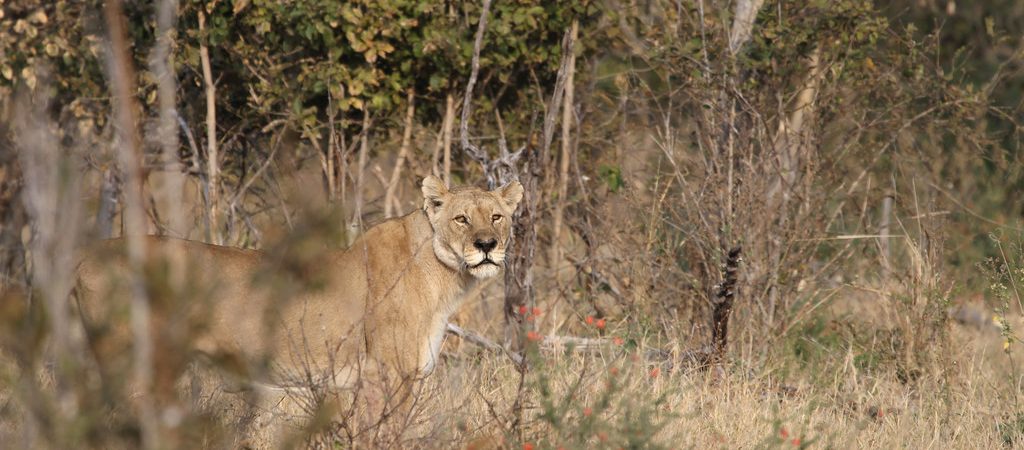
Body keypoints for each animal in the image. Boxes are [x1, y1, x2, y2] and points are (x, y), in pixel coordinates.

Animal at [74, 175, 523, 407]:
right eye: (462, 219)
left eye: (496, 217)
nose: (487, 245)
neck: (445, 276)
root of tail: (84, 255)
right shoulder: (388, 376)